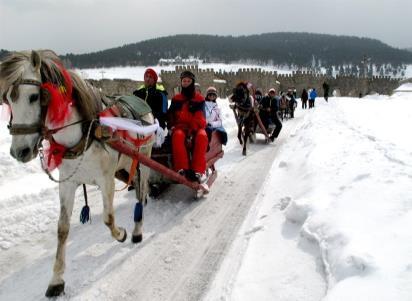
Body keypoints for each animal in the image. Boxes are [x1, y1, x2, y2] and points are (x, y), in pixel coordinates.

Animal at [0, 49, 154, 296]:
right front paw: (56, 280)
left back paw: (137, 230)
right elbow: (62, 229)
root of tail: (141, 102)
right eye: (7, 99)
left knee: (141, 191)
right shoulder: (67, 183)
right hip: (125, 165)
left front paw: (121, 233)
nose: (19, 151)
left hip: (144, 160)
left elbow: (109, 218)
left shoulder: (106, 180)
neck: (85, 133)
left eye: (34, 96)